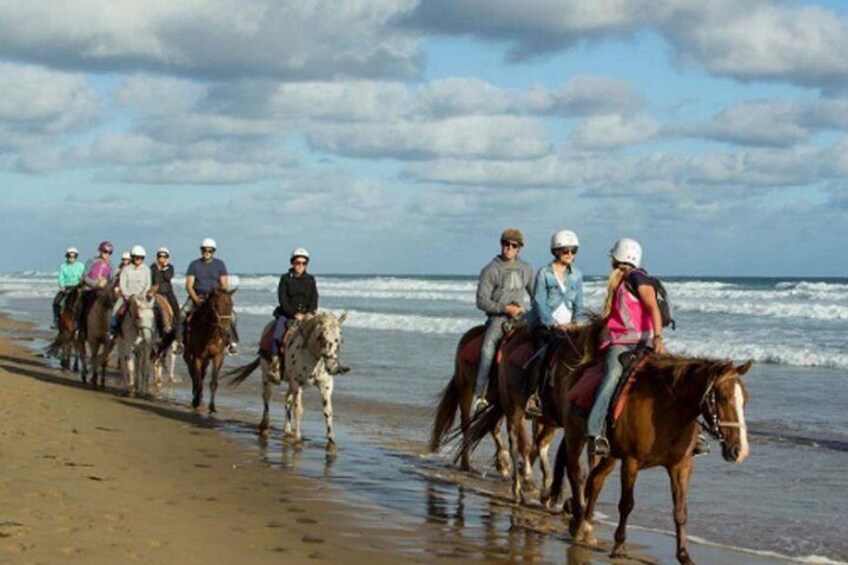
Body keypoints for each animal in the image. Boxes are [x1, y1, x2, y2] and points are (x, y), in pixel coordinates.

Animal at [229, 308, 348, 450]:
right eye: (321, 337)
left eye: (339, 340)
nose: (333, 367)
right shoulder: (297, 383)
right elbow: (298, 409)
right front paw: (297, 438)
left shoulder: (325, 385)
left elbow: (328, 411)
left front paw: (331, 441)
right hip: (267, 375)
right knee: (267, 397)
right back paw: (265, 426)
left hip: (291, 384)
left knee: (287, 400)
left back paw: (287, 429)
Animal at [548, 350, 756, 560]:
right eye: (723, 397)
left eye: (745, 399)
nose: (740, 451)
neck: (668, 410)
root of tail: (578, 371)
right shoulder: (631, 462)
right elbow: (626, 504)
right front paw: (619, 546)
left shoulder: (681, 466)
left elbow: (680, 510)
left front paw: (684, 555)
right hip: (575, 437)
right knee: (577, 475)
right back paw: (578, 521)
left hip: (610, 454)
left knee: (596, 479)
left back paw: (585, 526)